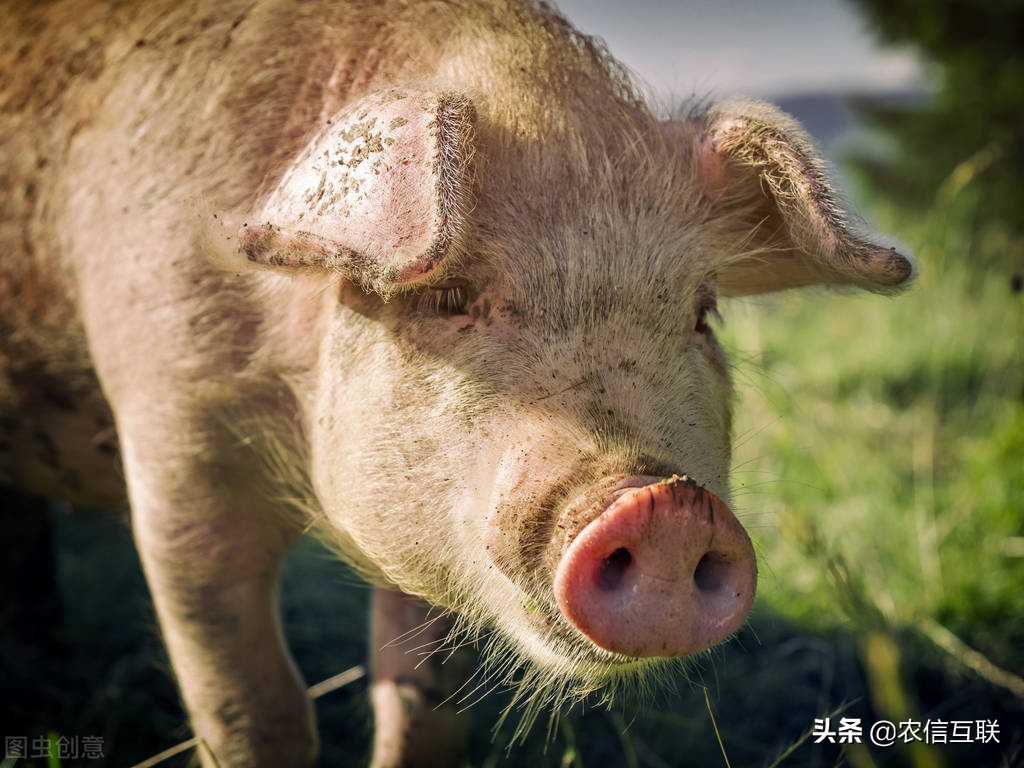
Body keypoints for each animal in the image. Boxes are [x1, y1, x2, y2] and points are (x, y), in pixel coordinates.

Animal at [0, 0, 913, 765]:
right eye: (446, 299)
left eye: (701, 313)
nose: (666, 505)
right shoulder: (172, 441)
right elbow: (253, 705)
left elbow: (423, 701)